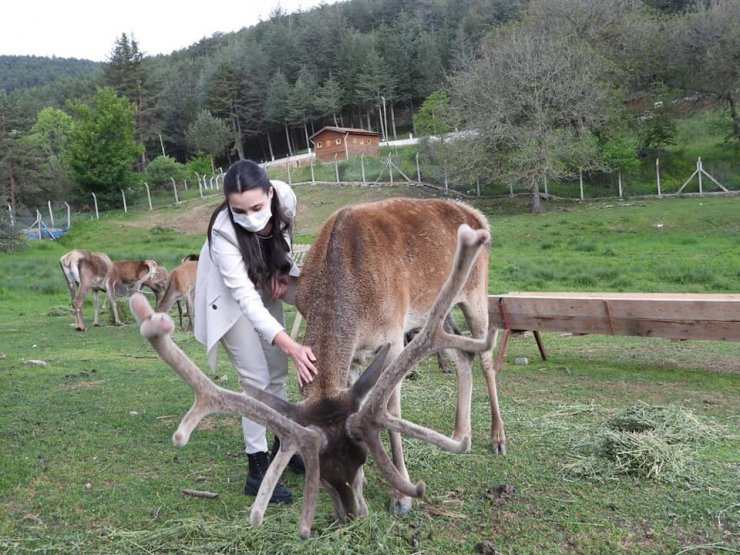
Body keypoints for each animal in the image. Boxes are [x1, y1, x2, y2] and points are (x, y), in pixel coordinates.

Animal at [132, 199, 502, 540]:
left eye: (362, 459)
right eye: (321, 475)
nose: (351, 517)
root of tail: (477, 214)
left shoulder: (395, 337)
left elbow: (393, 414)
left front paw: (401, 496)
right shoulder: (353, 359)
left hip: (475, 291)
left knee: (484, 354)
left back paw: (497, 439)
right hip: (442, 310)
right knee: (462, 354)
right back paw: (460, 433)